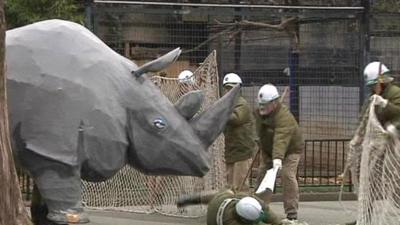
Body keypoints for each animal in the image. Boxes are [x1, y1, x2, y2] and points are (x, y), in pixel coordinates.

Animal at [6, 19, 239, 223]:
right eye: (158, 124)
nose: (204, 165)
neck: (115, 85)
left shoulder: (49, 148)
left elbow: (44, 200)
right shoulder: (53, 146)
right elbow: (66, 199)